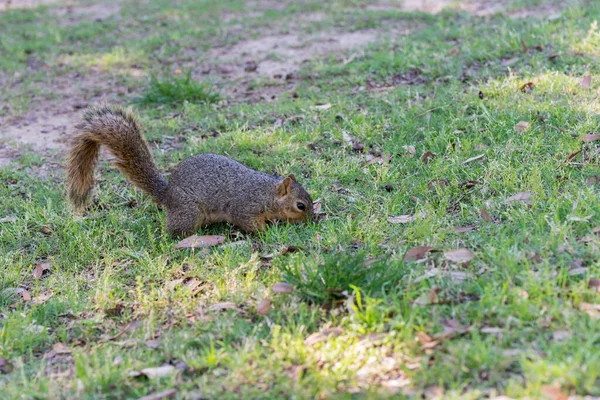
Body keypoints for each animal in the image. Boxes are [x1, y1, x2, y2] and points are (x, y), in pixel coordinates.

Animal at [65, 104, 314, 238]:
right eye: (300, 206)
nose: (312, 221)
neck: (267, 193)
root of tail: (167, 194)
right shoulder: (245, 208)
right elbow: (248, 222)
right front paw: (265, 232)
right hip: (189, 212)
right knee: (173, 231)